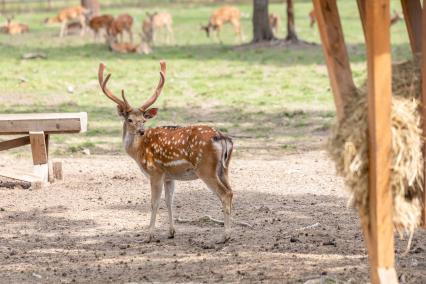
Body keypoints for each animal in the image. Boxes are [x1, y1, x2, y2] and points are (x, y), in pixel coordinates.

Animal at [98, 61, 235, 243]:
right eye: (130, 120)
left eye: (143, 120)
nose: (141, 131)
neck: (138, 152)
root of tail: (223, 138)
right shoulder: (169, 176)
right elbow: (169, 201)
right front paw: (171, 232)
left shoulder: (155, 171)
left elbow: (154, 202)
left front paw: (148, 235)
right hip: (224, 169)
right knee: (231, 192)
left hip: (206, 169)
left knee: (225, 194)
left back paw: (224, 236)